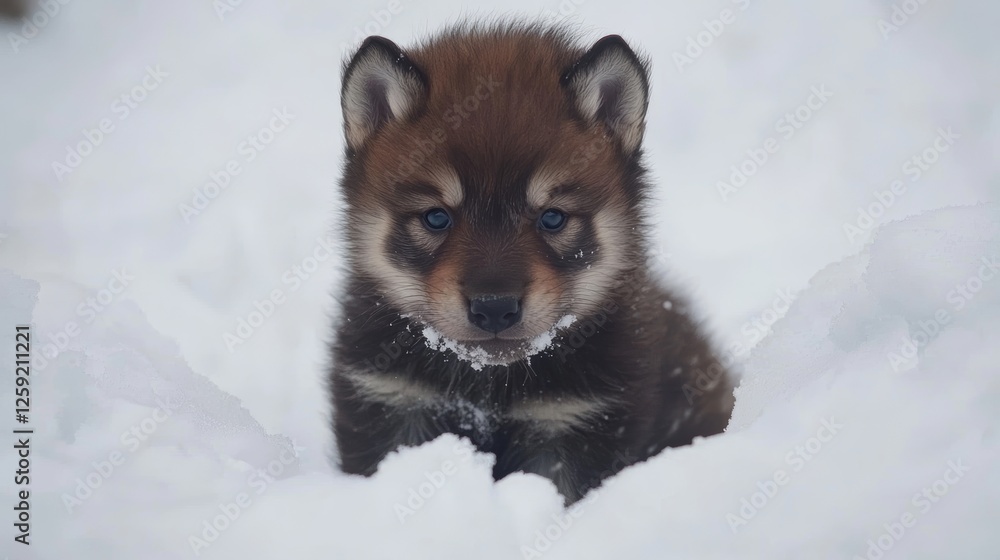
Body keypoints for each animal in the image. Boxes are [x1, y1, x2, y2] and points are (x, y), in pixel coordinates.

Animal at [329, 22, 734, 503]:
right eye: (436, 217)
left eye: (552, 217)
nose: (494, 308)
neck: (486, 388)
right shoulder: (392, 401)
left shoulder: (572, 422)